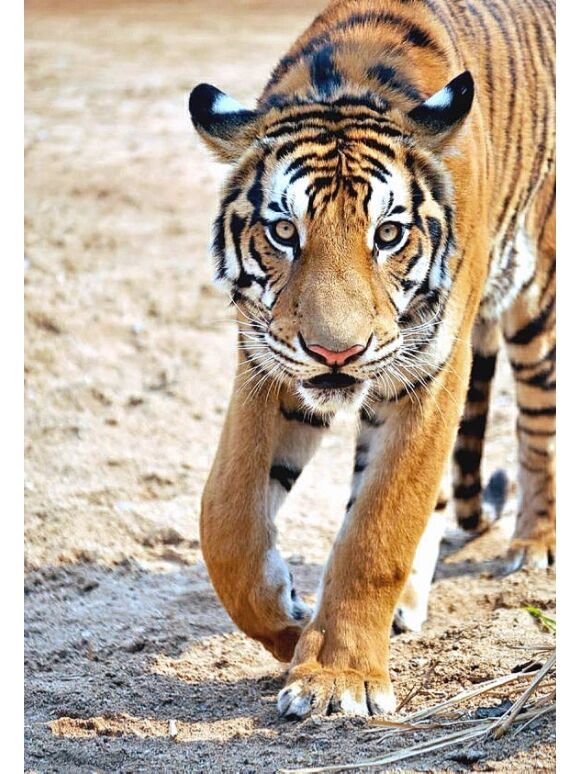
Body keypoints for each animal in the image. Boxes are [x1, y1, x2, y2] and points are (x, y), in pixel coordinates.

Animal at [189, 0, 555, 718]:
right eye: (284, 231)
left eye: (387, 234)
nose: (337, 350)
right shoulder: (269, 365)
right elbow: (226, 519)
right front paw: (290, 623)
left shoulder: (431, 371)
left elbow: (378, 526)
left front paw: (337, 677)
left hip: (539, 297)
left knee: (538, 425)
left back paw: (535, 545)